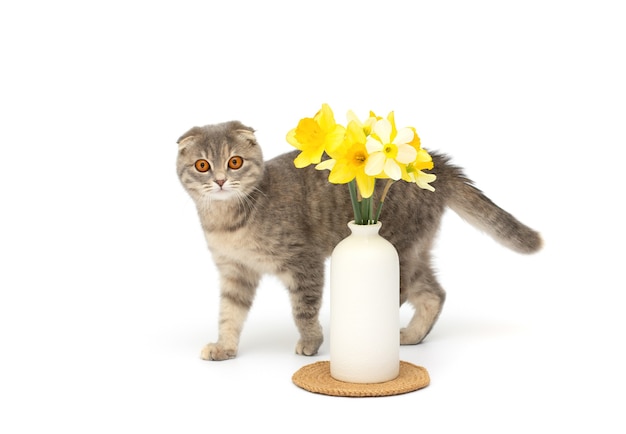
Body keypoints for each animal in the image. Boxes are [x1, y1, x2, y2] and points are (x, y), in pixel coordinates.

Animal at [176, 120, 540, 362]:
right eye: (202, 165)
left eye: (234, 162)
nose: (220, 180)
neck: (228, 221)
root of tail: (431, 162)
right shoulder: (235, 272)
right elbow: (229, 314)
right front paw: (225, 347)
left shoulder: (304, 261)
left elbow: (303, 310)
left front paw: (311, 342)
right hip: (415, 250)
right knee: (434, 294)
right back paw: (412, 335)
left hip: (399, 245)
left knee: (403, 292)